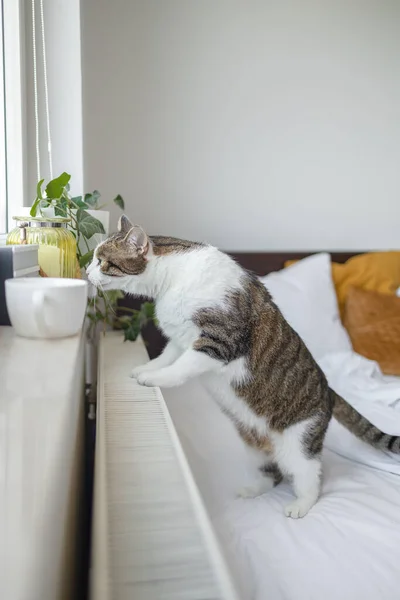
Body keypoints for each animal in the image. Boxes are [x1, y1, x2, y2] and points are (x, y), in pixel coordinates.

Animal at [88, 214, 400, 516]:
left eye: (103, 262)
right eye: (92, 259)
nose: (88, 273)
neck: (171, 279)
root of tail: (330, 391)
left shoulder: (218, 342)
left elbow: (181, 368)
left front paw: (154, 379)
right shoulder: (180, 339)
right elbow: (165, 357)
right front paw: (146, 369)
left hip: (299, 441)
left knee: (308, 475)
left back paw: (301, 505)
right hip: (252, 442)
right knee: (272, 471)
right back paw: (254, 489)